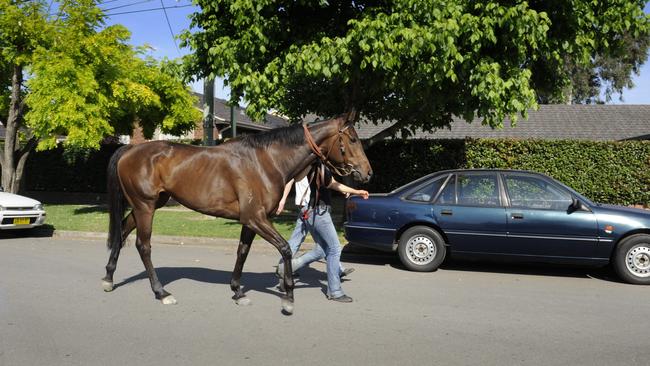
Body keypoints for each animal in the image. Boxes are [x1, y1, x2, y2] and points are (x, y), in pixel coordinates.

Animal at [104, 115, 372, 314]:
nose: (367, 173)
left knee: (122, 232)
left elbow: (242, 252)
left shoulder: (250, 221)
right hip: (145, 207)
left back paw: (108, 278)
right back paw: (161, 292)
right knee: (143, 246)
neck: (266, 162)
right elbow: (285, 248)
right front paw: (288, 298)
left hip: (146, 206)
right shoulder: (256, 218)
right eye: (352, 139)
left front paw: (237, 291)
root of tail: (129, 149)